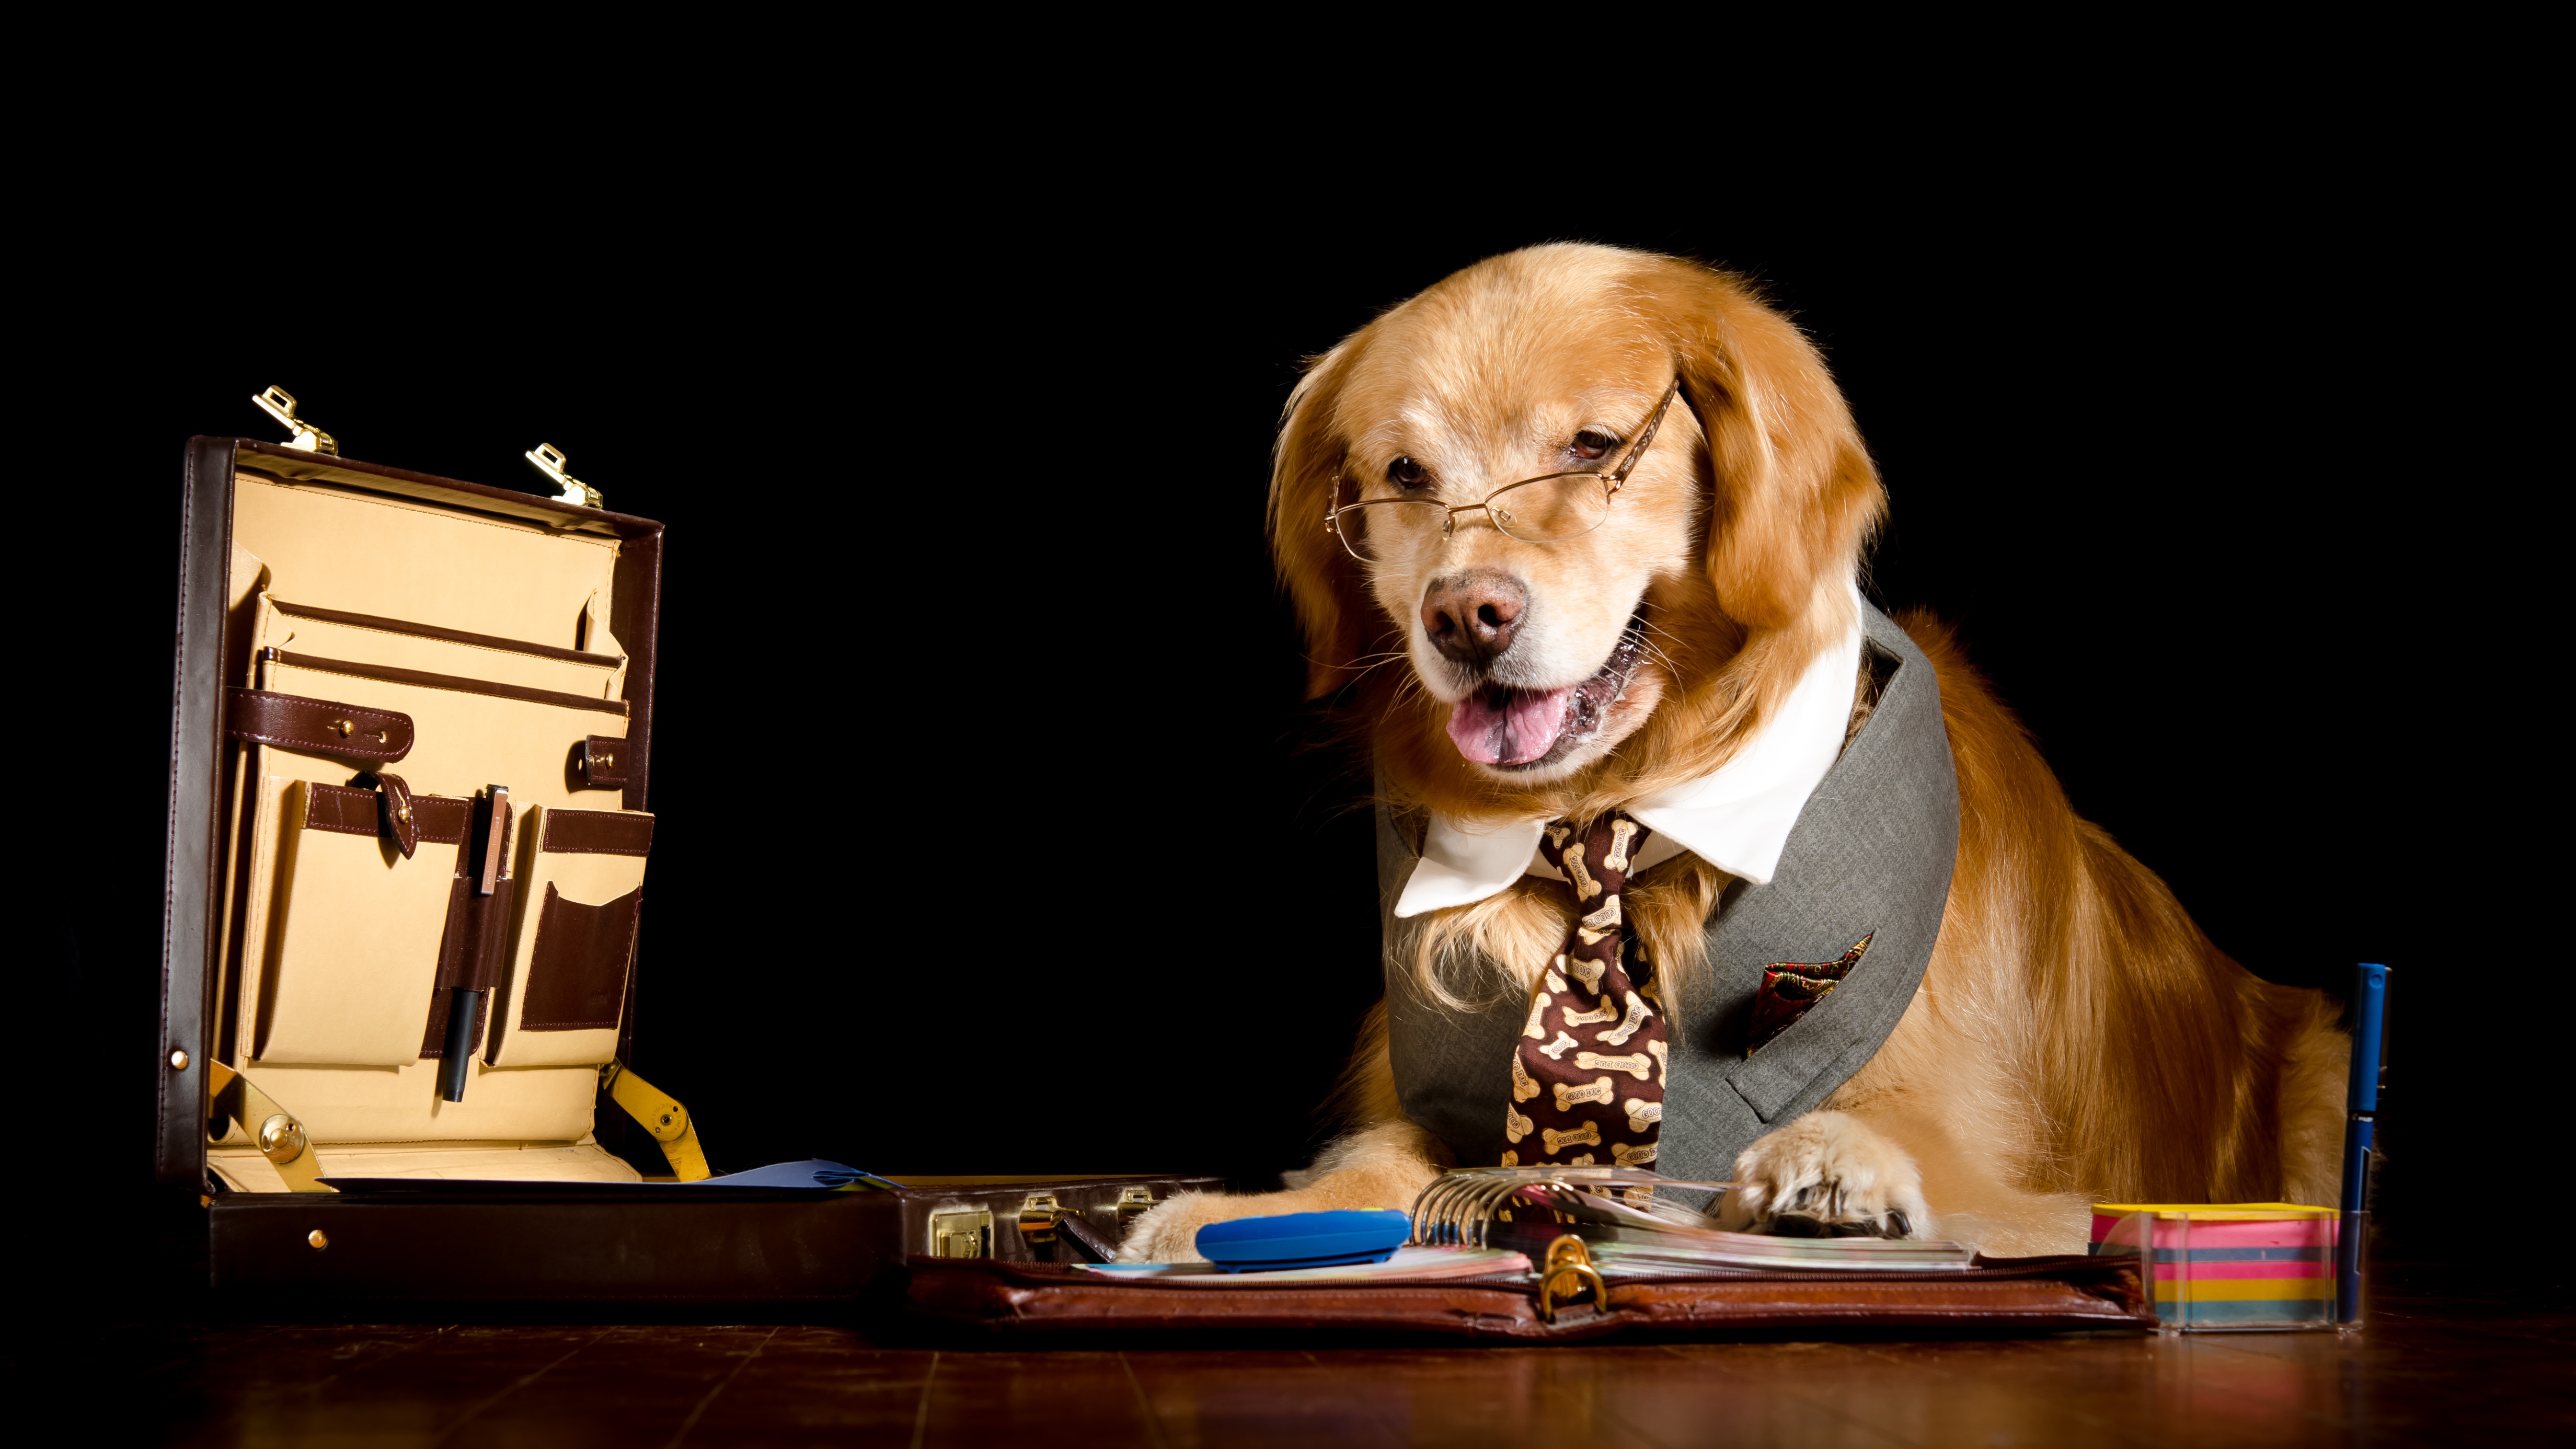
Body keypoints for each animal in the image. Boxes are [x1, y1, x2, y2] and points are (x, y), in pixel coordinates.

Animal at [1118, 242, 2349, 1258]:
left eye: (1594, 446)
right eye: (1404, 476)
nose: (1463, 615)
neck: (1615, 810)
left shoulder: (2021, 1169)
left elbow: (1922, 1142)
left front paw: (1833, 1157)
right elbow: (1390, 1154)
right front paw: (1249, 1212)